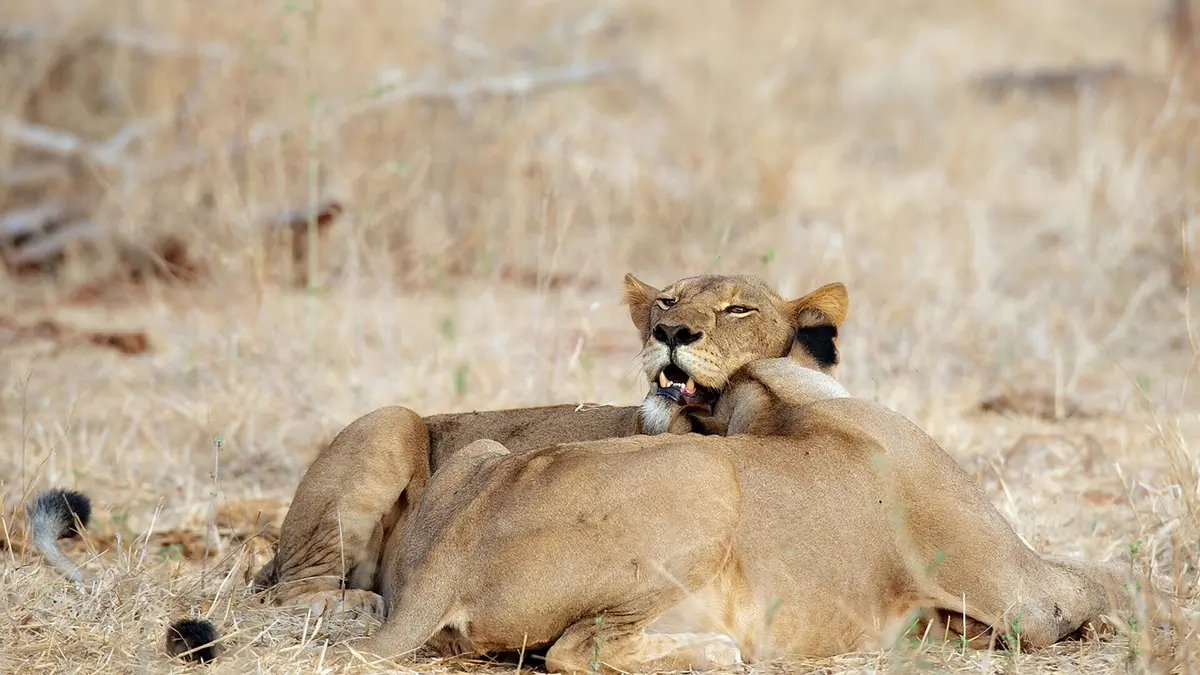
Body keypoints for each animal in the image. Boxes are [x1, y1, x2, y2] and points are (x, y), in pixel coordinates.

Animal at [250, 274, 852, 619]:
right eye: (667, 301)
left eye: (738, 310)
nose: (671, 332)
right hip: (391, 420)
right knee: (293, 589)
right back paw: (355, 605)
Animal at [348, 356, 1171, 673]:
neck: (779, 403)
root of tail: (445, 564)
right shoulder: (1027, 591)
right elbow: (1111, 580)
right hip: (704, 482)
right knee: (576, 649)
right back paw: (720, 652)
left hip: (481, 452)